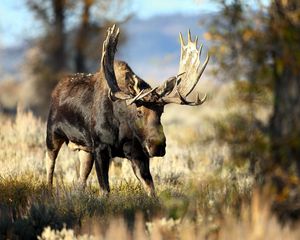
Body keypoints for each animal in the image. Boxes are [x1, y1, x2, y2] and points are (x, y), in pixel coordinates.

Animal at [45, 24, 209, 197]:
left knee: (81, 179)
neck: (122, 128)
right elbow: (105, 190)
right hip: (52, 135)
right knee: (50, 166)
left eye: (161, 112)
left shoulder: (138, 154)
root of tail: (57, 88)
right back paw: (48, 191)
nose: (157, 145)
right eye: (139, 112)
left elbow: (151, 189)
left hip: (84, 149)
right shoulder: (100, 147)